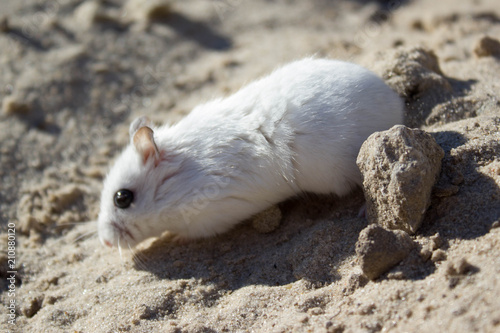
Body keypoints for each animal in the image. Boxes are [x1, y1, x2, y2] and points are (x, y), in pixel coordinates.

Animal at [96, 57, 402, 246]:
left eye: (122, 198)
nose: (106, 242)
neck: (177, 178)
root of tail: (397, 105)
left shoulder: (209, 216)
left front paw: (174, 239)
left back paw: (364, 211)